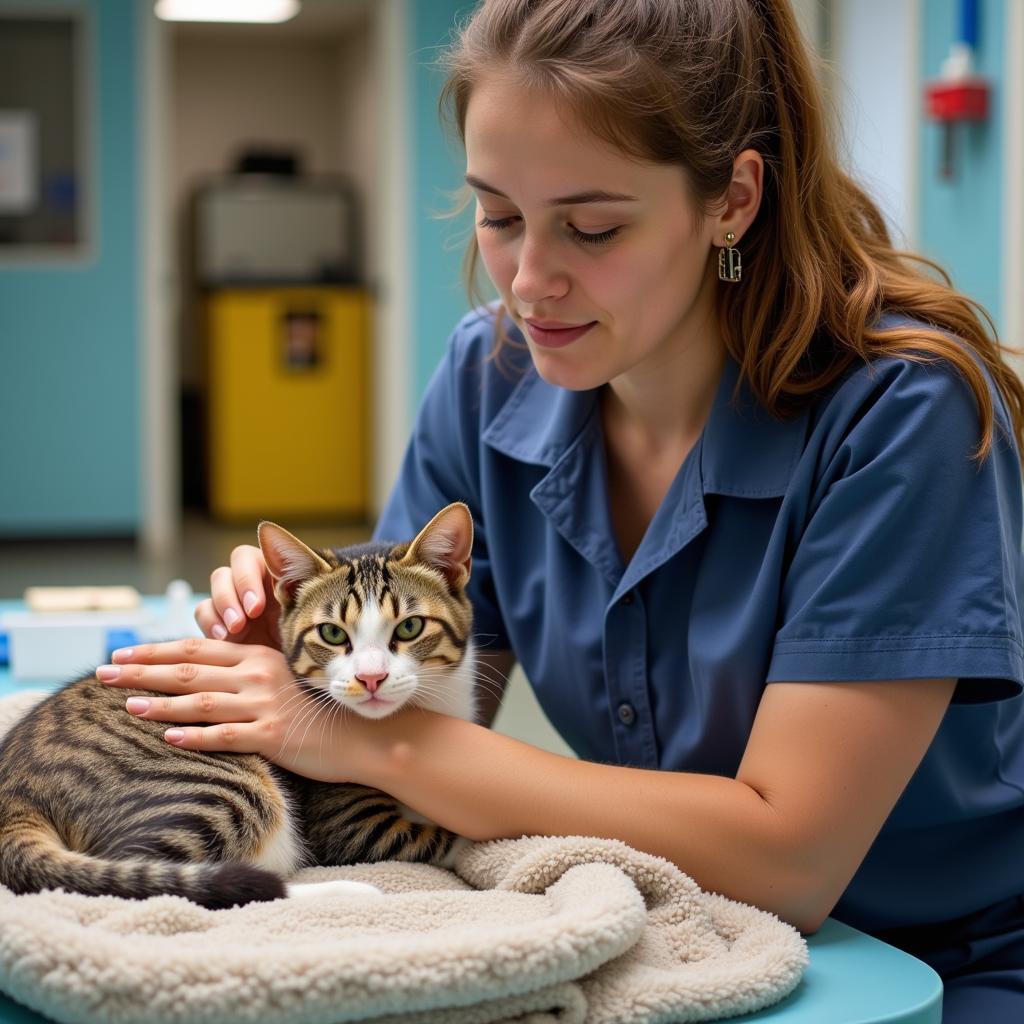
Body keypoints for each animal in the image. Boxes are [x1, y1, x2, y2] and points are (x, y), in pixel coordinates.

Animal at [0, 499, 477, 909]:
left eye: (410, 627)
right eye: (333, 633)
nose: (371, 677)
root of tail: (14, 784)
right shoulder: (348, 822)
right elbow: (445, 838)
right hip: (215, 788)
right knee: (146, 878)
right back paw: (343, 892)